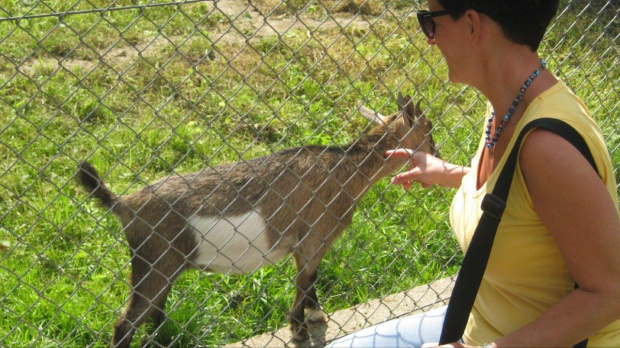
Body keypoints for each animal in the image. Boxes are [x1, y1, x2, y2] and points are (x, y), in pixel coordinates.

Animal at [76, 92, 436, 346]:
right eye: (429, 128)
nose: (437, 151)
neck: (346, 170)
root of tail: (124, 205)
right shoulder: (314, 238)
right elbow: (304, 281)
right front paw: (299, 329)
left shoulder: (305, 245)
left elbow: (310, 280)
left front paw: (315, 315)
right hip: (152, 265)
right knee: (125, 324)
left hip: (162, 270)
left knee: (154, 318)